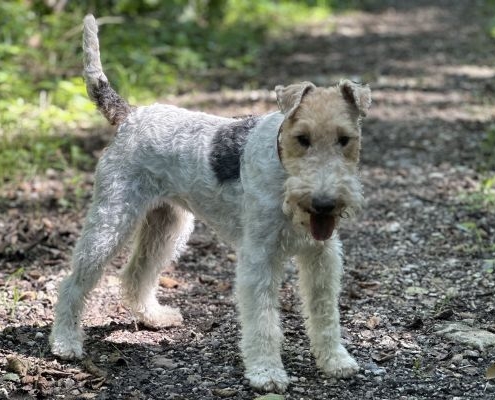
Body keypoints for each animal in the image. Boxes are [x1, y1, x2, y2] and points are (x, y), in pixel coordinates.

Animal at [50, 14, 374, 392]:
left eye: (345, 139)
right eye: (302, 138)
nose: (323, 204)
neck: (282, 167)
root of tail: (130, 114)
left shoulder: (322, 255)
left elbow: (325, 312)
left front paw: (335, 361)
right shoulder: (259, 257)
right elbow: (263, 320)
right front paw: (266, 372)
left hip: (168, 224)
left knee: (135, 273)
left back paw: (154, 317)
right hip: (112, 218)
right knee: (72, 283)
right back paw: (65, 342)